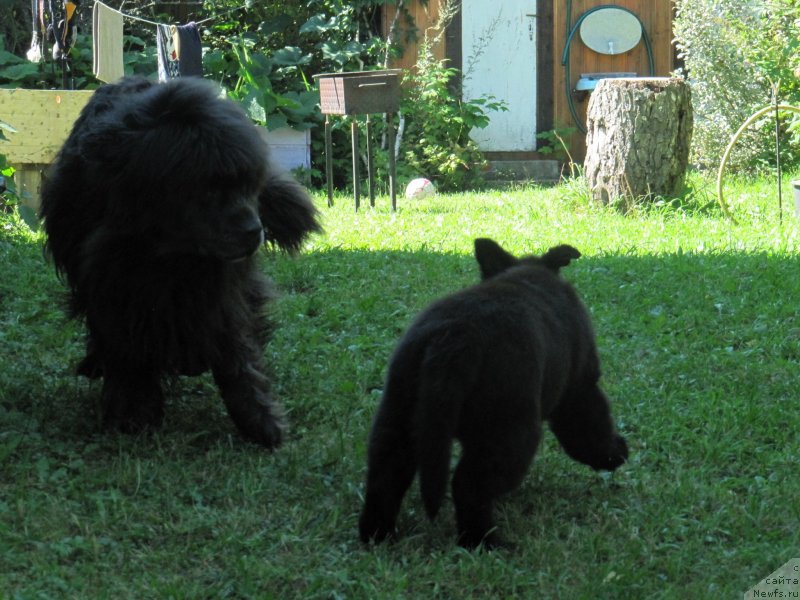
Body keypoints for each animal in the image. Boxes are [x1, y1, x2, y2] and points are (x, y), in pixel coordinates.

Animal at [37, 77, 318, 448]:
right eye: (209, 190)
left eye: (247, 185)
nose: (253, 230)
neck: (170, 256)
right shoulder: (112, 282)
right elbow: (127, 349)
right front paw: (134, 411)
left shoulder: (221, 288)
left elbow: (237, 352)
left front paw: (259, 418)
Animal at [360, 238, 628, 548]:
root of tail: (452, 340)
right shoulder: (579, 388)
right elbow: (593, 426)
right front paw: (614, 453)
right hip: (508, 431)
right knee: (469, 485)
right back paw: (484, 542)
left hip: (399, 413)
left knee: (386, 472)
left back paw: (377, 536)